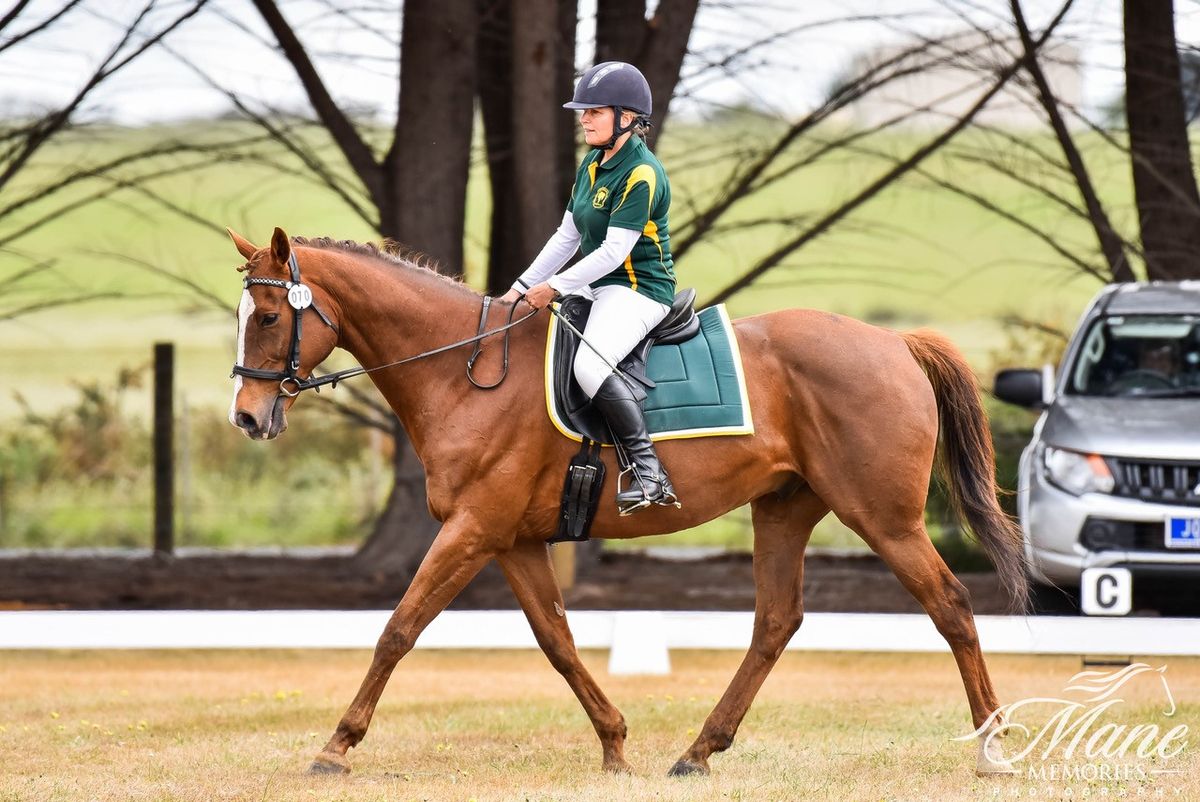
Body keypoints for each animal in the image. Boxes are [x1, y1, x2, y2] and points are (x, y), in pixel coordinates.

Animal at [229, 225, 1027, 777]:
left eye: (267, 317)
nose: (247, 417)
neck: (464, 370)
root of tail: (895, 342)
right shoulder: (511, 539)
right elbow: (556, 640)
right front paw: (614, 745)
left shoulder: (472, 529)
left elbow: (399, 629)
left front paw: (336, 747)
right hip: (784, 508)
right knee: (776, 622)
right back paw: (699, 751)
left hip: (883, 517)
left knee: (951, 606)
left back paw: (991, 748)